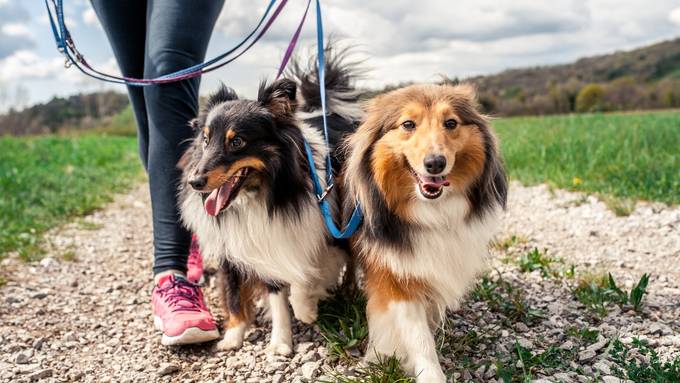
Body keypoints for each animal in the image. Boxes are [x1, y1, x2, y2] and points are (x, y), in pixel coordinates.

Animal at [342, 83, 508, 380]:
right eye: (408, 124)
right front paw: (427, 373)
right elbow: (418, 337)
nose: (435, 163)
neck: (430, 212)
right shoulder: (395, 276)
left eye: (451, 123)